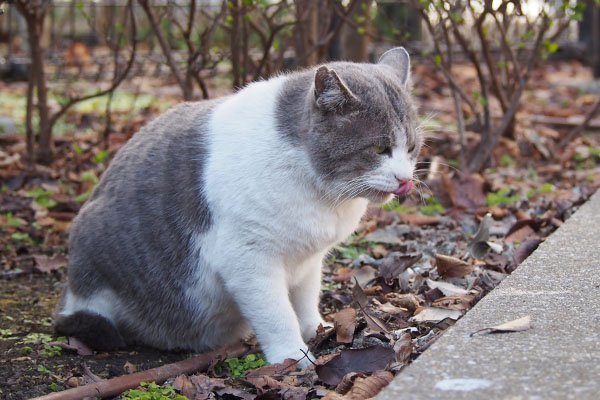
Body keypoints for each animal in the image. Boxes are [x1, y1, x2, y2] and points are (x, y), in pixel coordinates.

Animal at [56, 47, 422, 368]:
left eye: (412, 148)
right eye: (379, 148)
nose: (405, 179)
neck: (318, 190)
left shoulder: (309, 259)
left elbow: (305, 300)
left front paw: (318, 330)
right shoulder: (248, 258)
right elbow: (276, 315)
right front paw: (293, 357)